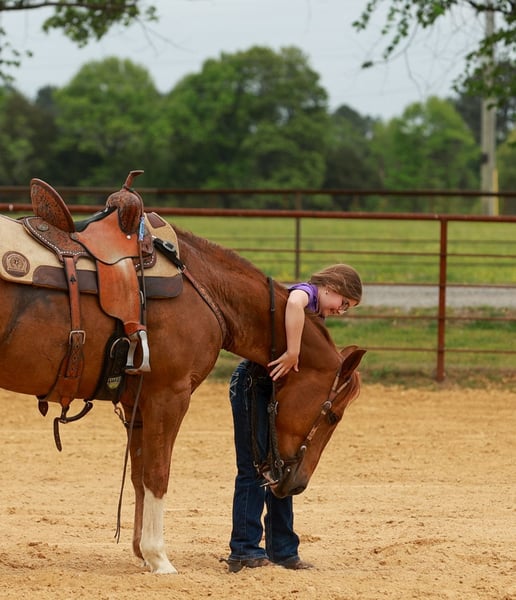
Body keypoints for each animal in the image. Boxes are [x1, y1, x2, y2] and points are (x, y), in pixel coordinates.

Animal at [0, 183, 365, 574]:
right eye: (333, 415)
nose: (297, 486)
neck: (204, 289)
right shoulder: (169, 396)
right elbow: (158, 474)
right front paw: (159, 558)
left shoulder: (138, 405)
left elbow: (140, 476)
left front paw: (142, 553)